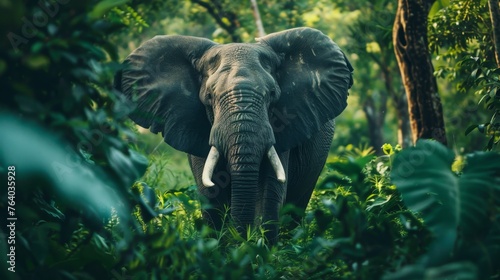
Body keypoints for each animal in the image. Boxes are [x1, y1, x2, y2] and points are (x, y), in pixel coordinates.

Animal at [115, 27, 354, 244]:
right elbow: (211, 192)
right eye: (209, 96)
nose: (242, 239)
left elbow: (269, 193)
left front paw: (257, 252)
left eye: (272, 95)